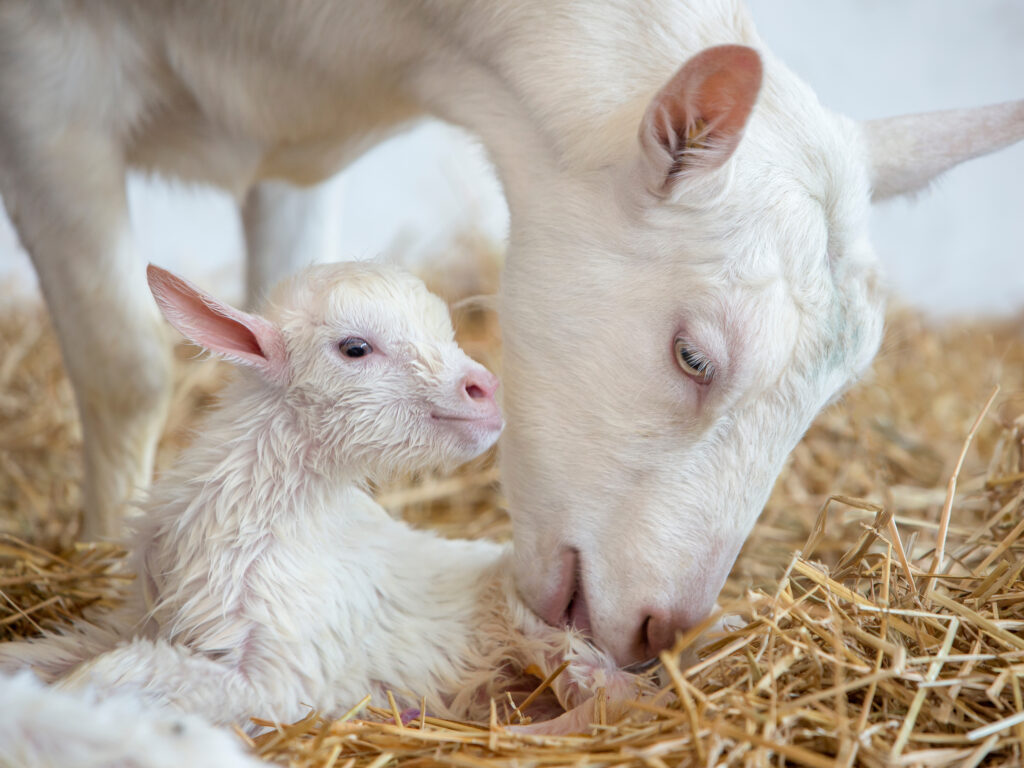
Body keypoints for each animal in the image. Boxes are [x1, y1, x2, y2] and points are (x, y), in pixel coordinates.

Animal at [0, 262, 638, 741]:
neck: (265, 518)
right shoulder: (140, 619)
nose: (485, 389)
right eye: (355, 348)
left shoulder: (284, 678)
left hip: (541, 627)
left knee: (619, 693)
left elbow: (114, 671)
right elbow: (49, 656)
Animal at [2, 0, 1024, 667]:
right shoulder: (44, 91)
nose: (661, 631)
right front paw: (106, 553)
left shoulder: (298, 169)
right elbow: (127, 365)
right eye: (693, 356)